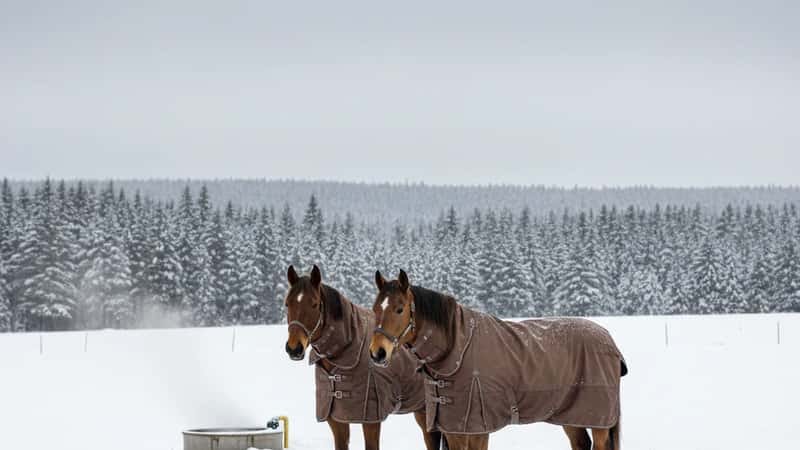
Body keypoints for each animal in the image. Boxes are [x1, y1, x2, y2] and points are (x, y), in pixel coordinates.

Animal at [283, 265, 447, 450]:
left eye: (314, 304)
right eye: (287, 303)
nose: (294, 348)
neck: (347, 348)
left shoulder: (370, 420)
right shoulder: (336, 420)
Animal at [368, 269, 628, 450]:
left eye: (400, 309)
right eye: (374, 309)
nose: (377, 353)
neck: (457, 349)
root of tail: (609, 341)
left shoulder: (477, 430)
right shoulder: (452, 428)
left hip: (598, 420)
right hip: (572, 416)